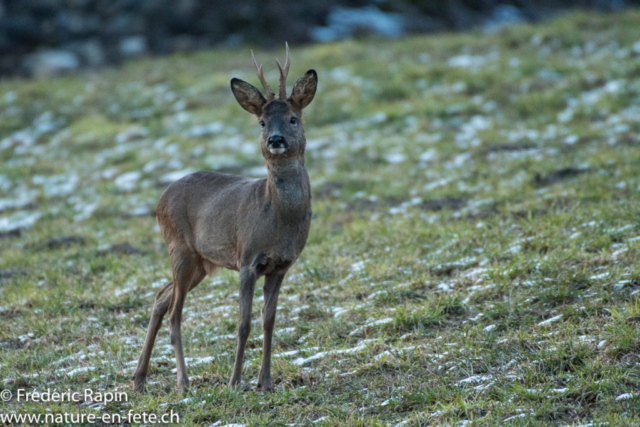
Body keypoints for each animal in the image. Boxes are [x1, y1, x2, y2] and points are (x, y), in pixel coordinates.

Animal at [132, 43, 318, 394]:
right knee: (175, 313)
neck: (277, 219)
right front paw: (234, 382)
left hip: (201, 262)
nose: (275, 140)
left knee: (161, 297)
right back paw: (183, 382)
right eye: (262, 122)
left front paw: (265, 382)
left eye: (293, 118)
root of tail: (161, 199)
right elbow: (243, 323)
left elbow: (269, 321)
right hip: (179, 248)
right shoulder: (248, 260)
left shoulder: (281, 266)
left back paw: (139, 380)